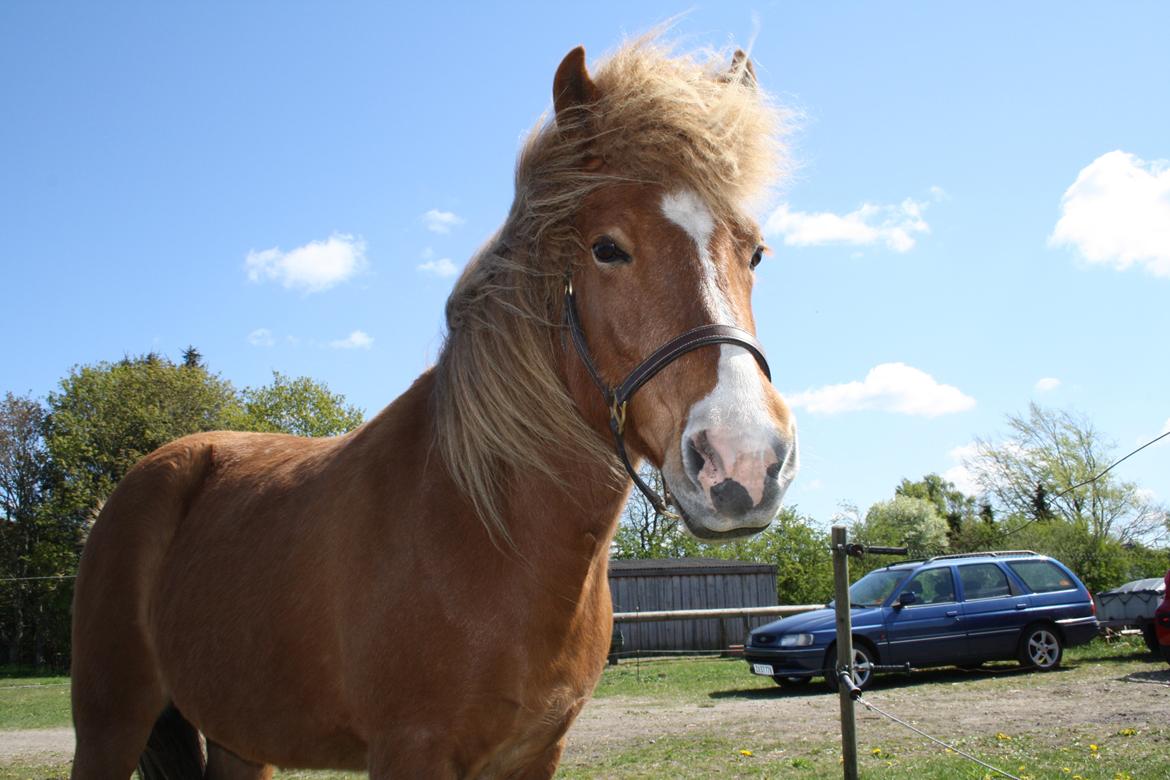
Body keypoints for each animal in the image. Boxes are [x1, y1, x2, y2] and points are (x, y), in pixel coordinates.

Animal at [70, 39, 795, 776]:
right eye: (607, 249)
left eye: (756, 253)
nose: (744, 460)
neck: (487, 527)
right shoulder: (410, 749)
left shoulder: (538, 751)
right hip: (108, 724)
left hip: (241, 739)